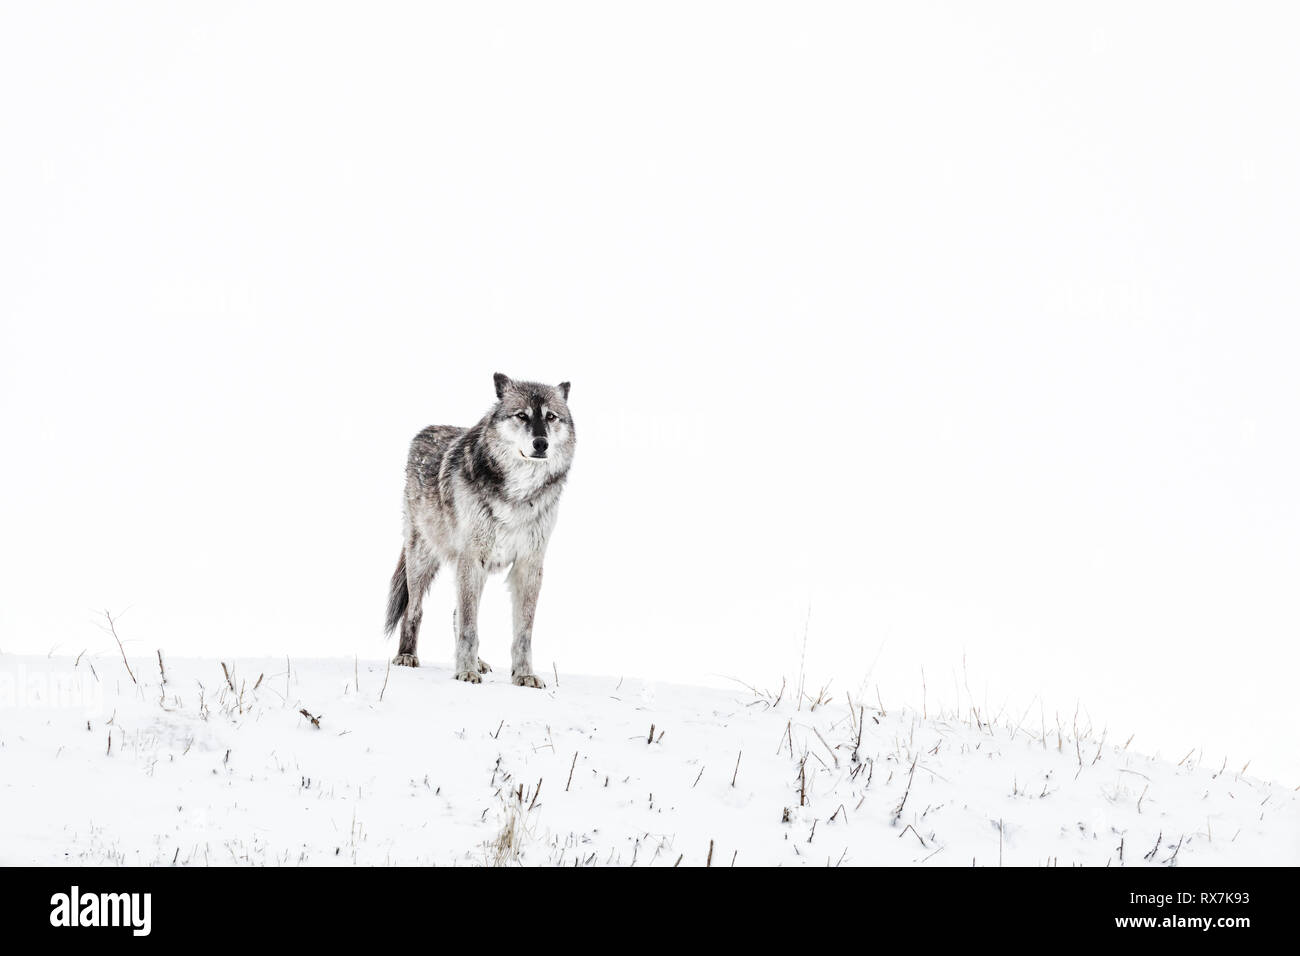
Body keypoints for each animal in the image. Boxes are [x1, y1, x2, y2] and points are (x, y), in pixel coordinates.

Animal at [379, 374, 574, 686]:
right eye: (522, 416)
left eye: (551, 417)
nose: (541, 443)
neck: (517, 495)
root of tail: (426, 431)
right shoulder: (472, 559)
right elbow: (469, 626)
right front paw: (466, 671)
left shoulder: (529, 566)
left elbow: (523, 632)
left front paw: (524, 675)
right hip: (422, 561)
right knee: (414, 610)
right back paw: (407, 655)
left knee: (456, 613)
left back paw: (478, 661)